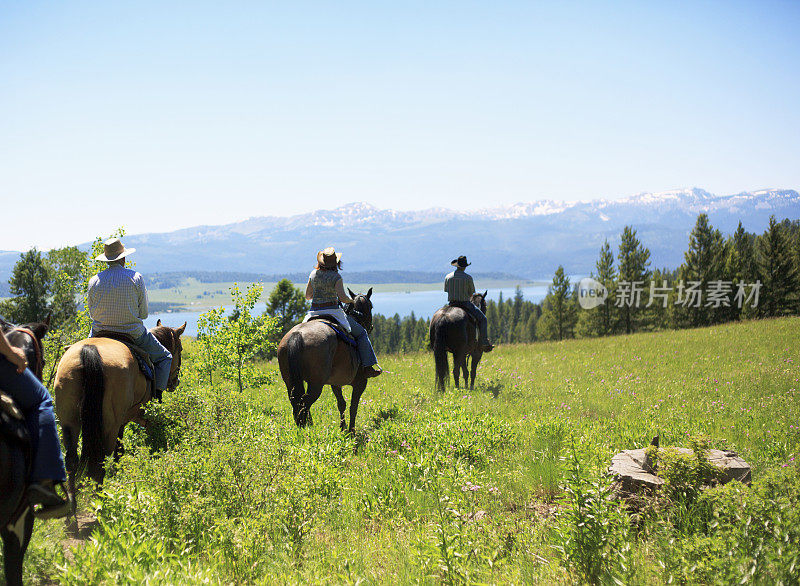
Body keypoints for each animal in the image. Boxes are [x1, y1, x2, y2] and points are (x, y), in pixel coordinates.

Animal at [52, 320, 187, 528]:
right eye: (179, 349)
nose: (175, 382)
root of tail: (88, 352)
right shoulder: (128, 418)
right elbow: (119, 450)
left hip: (69, 422)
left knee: (72, 460)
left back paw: (72, 514)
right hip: (109, 424)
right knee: (100, 460)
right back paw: (99, 505)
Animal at [276, 290, 374, 432]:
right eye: (371, 306)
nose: (371, 327)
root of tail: (297, 334)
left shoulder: (336, 383)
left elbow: (341, 404)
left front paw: (343, 428)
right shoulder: (360, 383)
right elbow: (353, 407)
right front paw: (351, 431)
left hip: (290, 381)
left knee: (296, 402)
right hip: (316, 384)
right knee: (304, 403)